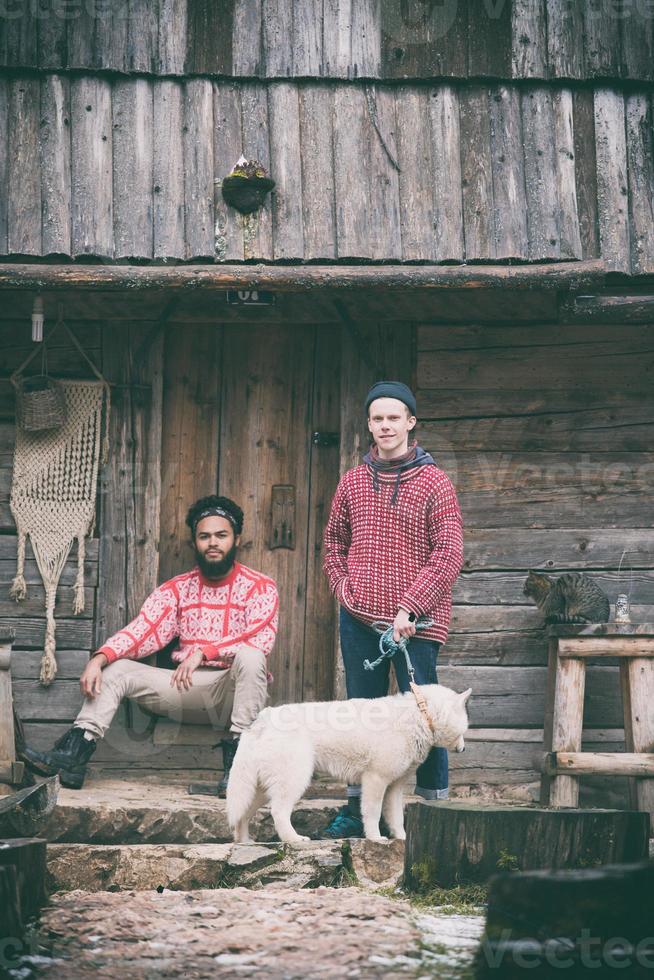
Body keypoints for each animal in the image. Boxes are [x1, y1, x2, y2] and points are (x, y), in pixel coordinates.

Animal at [227, 684, 472, 848]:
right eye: (465, 729)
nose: (463, 750)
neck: (420, 715)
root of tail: (262, 719)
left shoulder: (394, 787)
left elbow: (396, 817)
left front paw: (401, 838)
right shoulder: (375, 779)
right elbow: (372, 812)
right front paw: (375, 838)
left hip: (260, 788)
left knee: (243, 814)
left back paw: (244, 841)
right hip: (293, 780)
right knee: (278, 811)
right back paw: (294, 839)